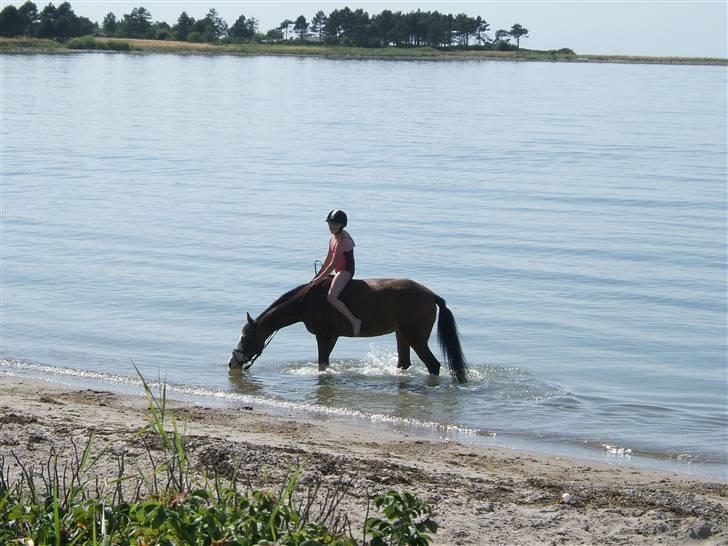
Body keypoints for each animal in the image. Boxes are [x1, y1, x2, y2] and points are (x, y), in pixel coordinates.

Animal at [228, 276, 470, 382]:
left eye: (247, 338)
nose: (232, 362)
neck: (307, 301)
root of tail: (431, 295)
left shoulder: (324, 336)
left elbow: (322, 363)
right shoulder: (331, 337)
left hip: (416, 339)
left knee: (434, 365)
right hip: (402, 336)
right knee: (404, 363)